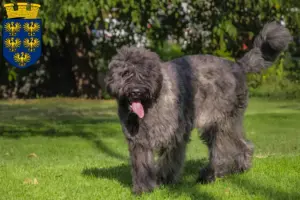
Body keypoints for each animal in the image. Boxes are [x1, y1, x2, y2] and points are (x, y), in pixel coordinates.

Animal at [105, 21, 290, 194]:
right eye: (125, 73)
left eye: (145, 73)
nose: (136, 91)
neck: (153, 103)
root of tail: (238, 66)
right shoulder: (139, 140)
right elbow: (142, 164)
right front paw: (143, 188)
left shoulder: (176, 136)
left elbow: (169, 160)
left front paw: (163, 179)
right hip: (221, 126)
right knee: (242, 145)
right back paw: (239, 168)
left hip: (220, 123)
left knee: (225, 151)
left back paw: (210, 174)